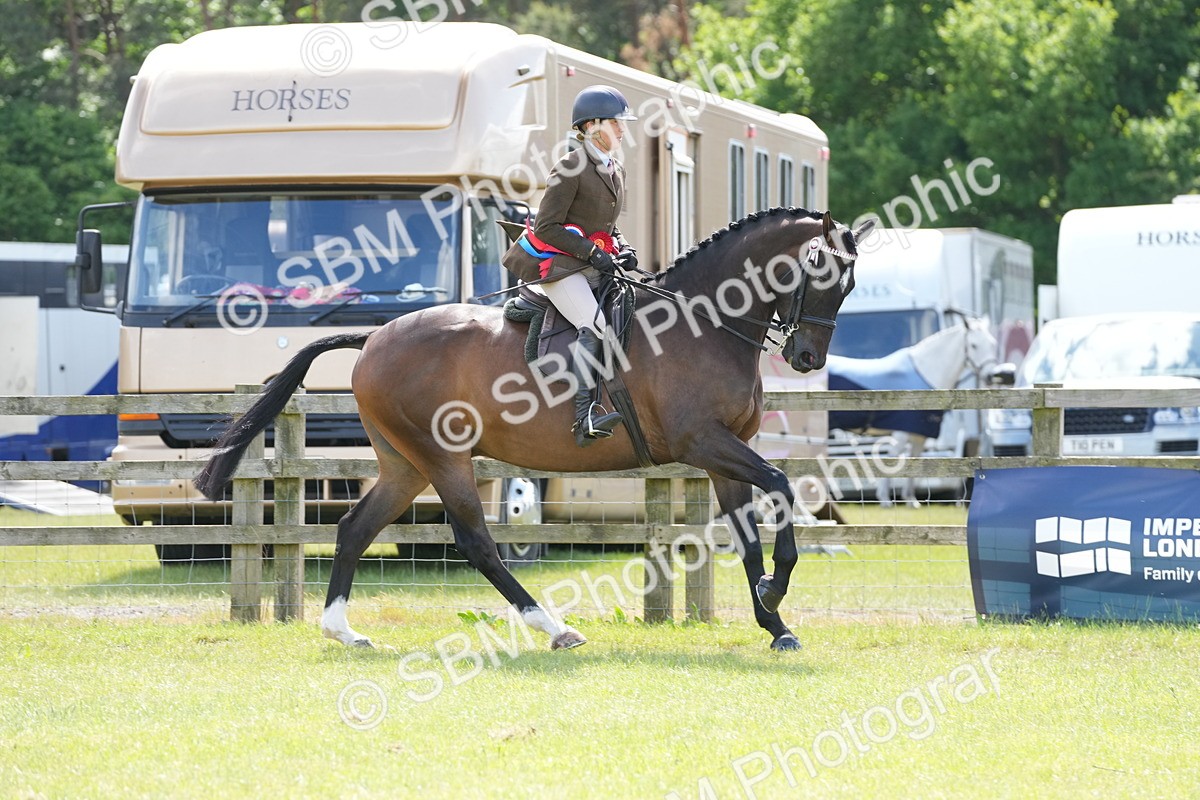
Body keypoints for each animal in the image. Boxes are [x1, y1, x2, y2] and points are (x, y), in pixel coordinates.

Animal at [195, 208, 875, 652]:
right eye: (823, 274)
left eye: (850, 284)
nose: (808, 358)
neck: (704, 321)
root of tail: (375, 337)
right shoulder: (704, 443)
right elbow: (780, 487)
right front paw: (775, 591)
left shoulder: (722, 452)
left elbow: (750, 534)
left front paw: (774, 621)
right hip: (443, 459)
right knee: (477, 543)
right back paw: (556, 629)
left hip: (404, 464)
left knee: (354, 529)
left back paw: (343, 630)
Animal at [825, 318, 998, 507]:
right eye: (974, 345)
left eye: (993, 343)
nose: (991, 376)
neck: (925, 375)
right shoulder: (901, 433)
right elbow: (892, 459)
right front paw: (885, 499)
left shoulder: (919, 435)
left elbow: (914, 460)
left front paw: (910, 500)